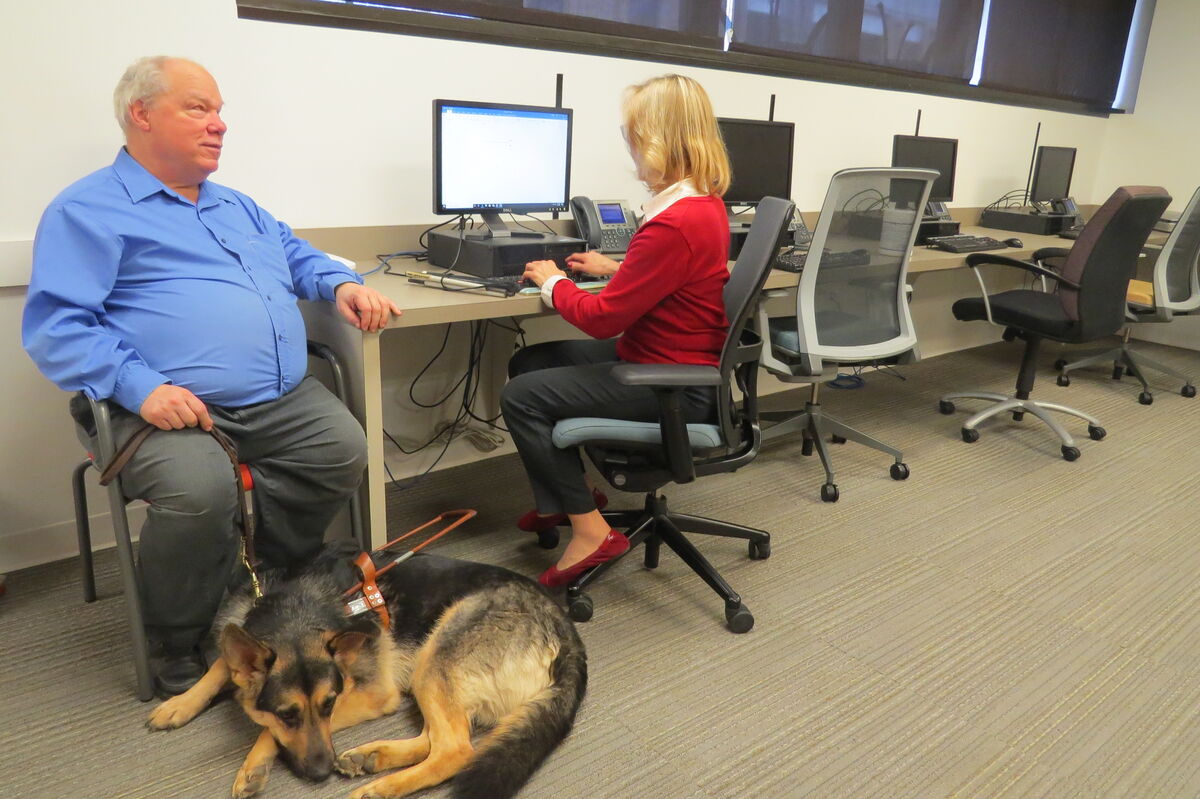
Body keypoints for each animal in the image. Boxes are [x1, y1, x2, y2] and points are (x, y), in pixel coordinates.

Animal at [147, 544, 588, 796]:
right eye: (288, 714)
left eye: (328, 705)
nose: (321, 773)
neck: (297, 608)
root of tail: (565, 629)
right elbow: (220, 666)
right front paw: (179, 704)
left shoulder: (374, 694)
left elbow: (264, 728)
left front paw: (254, 762)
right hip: (432, 675)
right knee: (439, 738)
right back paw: (372, 757)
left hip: (434, 661)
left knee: (456, 749)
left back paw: (379, 788)